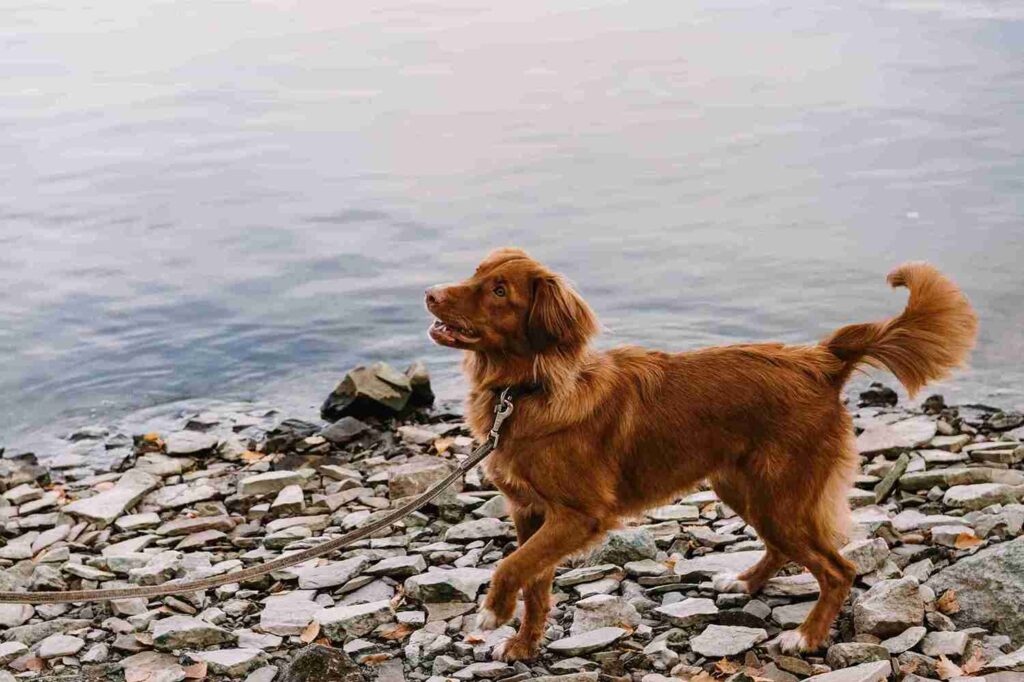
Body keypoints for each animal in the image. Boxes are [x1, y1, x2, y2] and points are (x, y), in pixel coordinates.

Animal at [421, 248, 974, 659]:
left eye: (499, 291)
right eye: (476, 274)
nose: (428, 293)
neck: (526, 391)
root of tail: (820, 361)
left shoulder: (578, 515)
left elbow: (512, 566)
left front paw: (494, 611)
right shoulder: (529, 511)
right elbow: (534, 581)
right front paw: (523, 645)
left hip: (780, 496)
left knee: (838, 570)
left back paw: (807, 636)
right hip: (746, 490)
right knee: (784, 549)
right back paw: (744, 582)